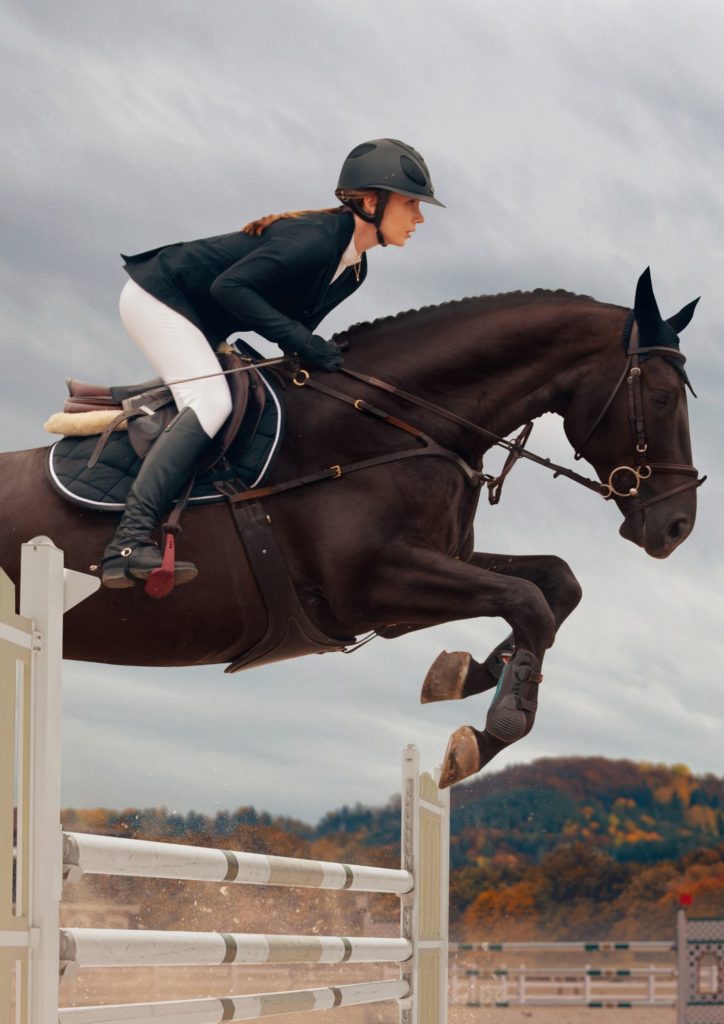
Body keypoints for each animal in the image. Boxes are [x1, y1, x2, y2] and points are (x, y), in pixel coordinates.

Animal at [0, 270, 700, 782]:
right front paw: (493, 723)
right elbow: (527, 598)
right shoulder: (368, 584)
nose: (677, 526)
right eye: (663, 397)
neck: (391, 422)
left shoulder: (419, 576)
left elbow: (555, 584)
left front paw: (471, 673)